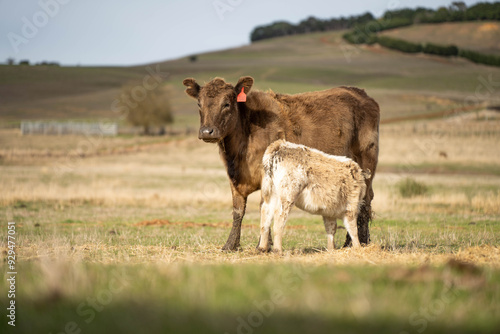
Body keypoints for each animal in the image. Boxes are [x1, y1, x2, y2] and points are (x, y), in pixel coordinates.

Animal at [184, 76, 378, 250]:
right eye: (199, 104)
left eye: (226, 104)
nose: (207, 131)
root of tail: (359, 92)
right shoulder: (234, 180)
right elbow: (238, 211)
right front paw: (230, 245)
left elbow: (264, 208)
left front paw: (263, 244)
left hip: (366, 165)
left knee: (364, 202)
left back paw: (359, 242)